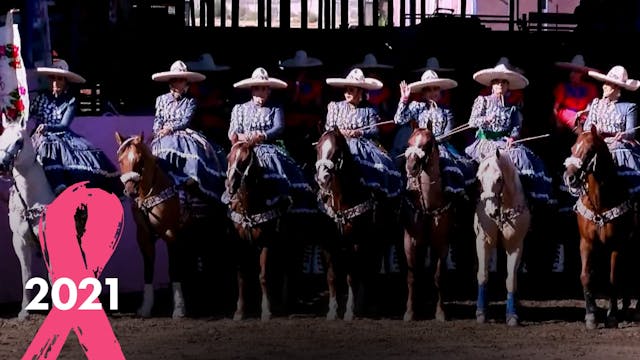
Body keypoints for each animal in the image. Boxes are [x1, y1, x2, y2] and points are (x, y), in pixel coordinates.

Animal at [314, 129, 382, 320]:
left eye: (337, 151)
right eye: (318, 148)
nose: (322, 178)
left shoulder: (355, 243)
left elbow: (352, 276)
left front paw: (350, 311)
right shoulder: (328, 243)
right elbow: (332, 276)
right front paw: (332, 311)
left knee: (369, 268)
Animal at [402, 126, 452, 320]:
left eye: (428, 143)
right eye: (409, 142)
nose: (411, 167)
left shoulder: (442, 243)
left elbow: (438, 276)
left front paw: (440, 312)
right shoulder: (410, 241)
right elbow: (411, 276)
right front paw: (410, 311)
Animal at [476, 148, 528, 328]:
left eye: (499, 178)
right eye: (479, 178)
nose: (490, 211)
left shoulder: (515, 246)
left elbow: (511, 279)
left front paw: (512, 315)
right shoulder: (483, 241)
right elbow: (483, 275)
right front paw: (481, 312)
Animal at [560, 126, 636, 330]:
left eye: (589, 151)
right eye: (572, 148)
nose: (569, 177)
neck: (600, 203)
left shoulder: (616, 245)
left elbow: (613, 279)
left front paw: (612, 316)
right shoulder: (586, 243)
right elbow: (586, 276)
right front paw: (591, 316)